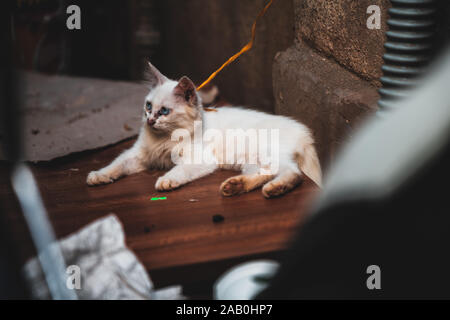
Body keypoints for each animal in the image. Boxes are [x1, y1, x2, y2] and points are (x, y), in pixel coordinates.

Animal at [86, 62, 322, 198]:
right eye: (148, 106)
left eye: (164, 111)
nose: (150, 120)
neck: (164, 138)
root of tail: (304, 132)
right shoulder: (138, 155)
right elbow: (116, 165)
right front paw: (99, 175)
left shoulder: (198, 159)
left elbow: (179, 170)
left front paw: (166, 180)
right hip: (251, 162)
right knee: (267, 174)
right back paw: (234, 186)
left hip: (267, 154)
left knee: (294, 173)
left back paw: (274, 189)